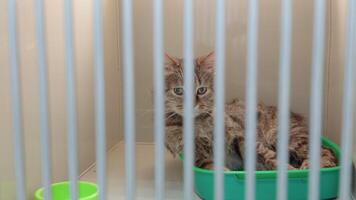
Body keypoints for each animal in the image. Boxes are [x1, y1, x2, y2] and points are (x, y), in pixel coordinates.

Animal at [164, 51, 336, 170]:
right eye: (178, 91)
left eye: (202, 90)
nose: (191, 104)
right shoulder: (197, 156)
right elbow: (213, 167)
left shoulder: (241, 135)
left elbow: (268, 156)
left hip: (286, 137)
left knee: (327, 151)